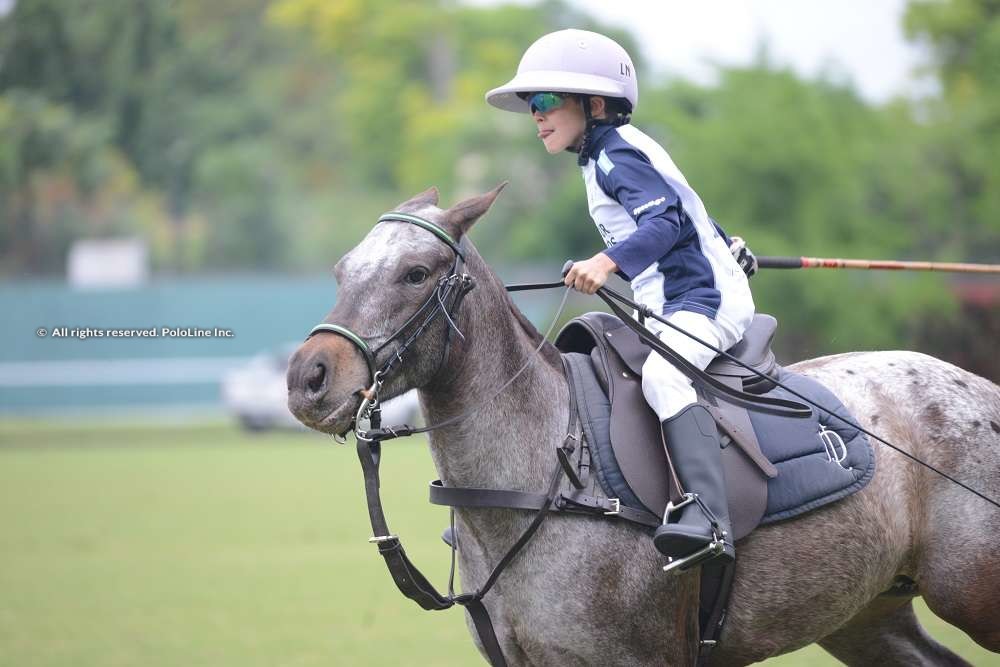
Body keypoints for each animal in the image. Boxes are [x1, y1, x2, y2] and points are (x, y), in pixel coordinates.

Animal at [286, 185, 1000, 664]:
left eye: (415, 272)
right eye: (342, 270)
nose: (306, 380)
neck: (545, 477)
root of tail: (980, 386)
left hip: (974, 594)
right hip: (865, 613)